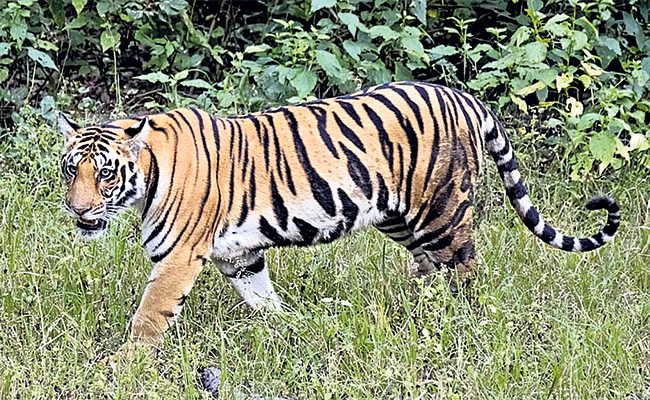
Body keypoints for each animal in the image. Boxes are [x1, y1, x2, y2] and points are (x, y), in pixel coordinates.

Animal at [58, 81, 620, 349]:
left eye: (105, 174)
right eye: (70, 170)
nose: (78, 209)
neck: (148, 174)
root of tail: (462, 95)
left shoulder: (177, 257)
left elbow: (149, 315)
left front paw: (126, 367)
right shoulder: (239, 255)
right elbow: (262, 297)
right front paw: (289, 327)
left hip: (442, 213)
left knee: (467, 271)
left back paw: (462, 322)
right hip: (401, 217)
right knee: (428, 269)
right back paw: (419, 312)